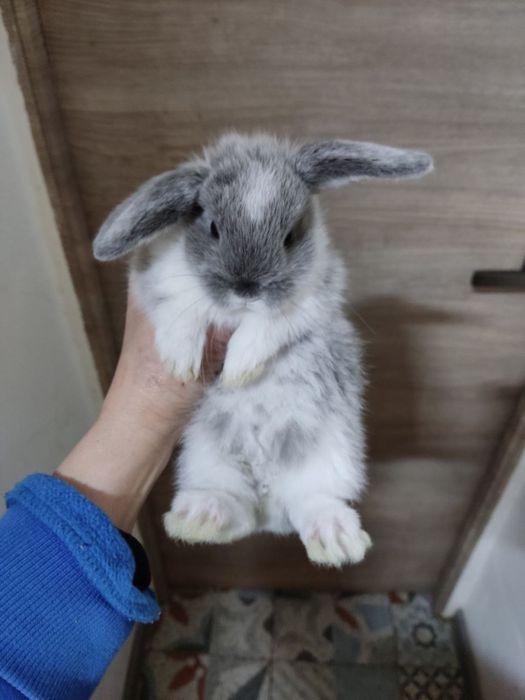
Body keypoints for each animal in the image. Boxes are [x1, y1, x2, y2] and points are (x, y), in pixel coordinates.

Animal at [93, 133, 432, 567]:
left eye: (290, 235)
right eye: (213, 227)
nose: (247, 288)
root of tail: (269, 503)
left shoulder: (312, 300)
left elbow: (267, 327)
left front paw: (239, 369)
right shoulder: (152, 280)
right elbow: (181, 312)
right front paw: (180, 361)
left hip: (333, 454)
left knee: (311, 501)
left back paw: (335, 539)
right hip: (206, 458)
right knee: (238, 510)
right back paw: (199, 517)